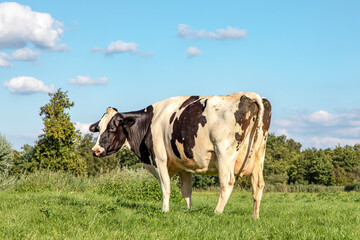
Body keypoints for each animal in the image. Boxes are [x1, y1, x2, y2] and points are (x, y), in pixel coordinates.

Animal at [89, 91, 270, 218]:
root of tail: (247, 94)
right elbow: (186, 191)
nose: (95, 150)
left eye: (112, 128)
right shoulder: (184, 166)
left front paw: (165, 211)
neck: (148, 123)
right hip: (259, 155)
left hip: (224, 153)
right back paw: (255, 216)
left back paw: (217, 212)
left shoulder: (159, 159)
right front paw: (189, 211)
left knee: (227, 183)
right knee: (258, 185)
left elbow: (166, 187)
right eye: (98, 128)